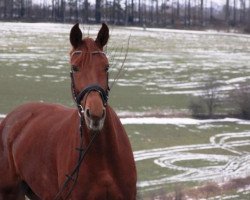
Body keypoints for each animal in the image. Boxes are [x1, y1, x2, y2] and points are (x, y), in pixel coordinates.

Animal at [0, 23, 137, 200]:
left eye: (106, 67)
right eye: (75, 67)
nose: (95, 114)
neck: (102, 156)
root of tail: (10, 119)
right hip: (10, 192)